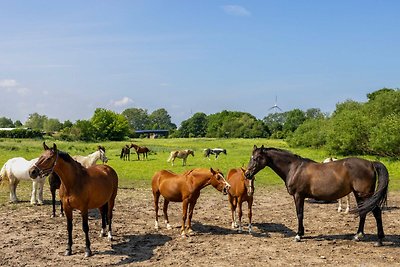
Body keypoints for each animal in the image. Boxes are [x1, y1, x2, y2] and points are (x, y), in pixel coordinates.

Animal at [245, 147, 390, 247]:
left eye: (256, 158)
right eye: (250, 157)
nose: (247, 174)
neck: (294, 168)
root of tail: (370, 163)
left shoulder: (298, 196)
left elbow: (299, 214)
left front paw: (298, 235)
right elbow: (300, 214)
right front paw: (302, 233)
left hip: (364, 194)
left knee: (376, 213)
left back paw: (379, 240)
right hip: (359, 195)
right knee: (363, 212)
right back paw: (358, 236)